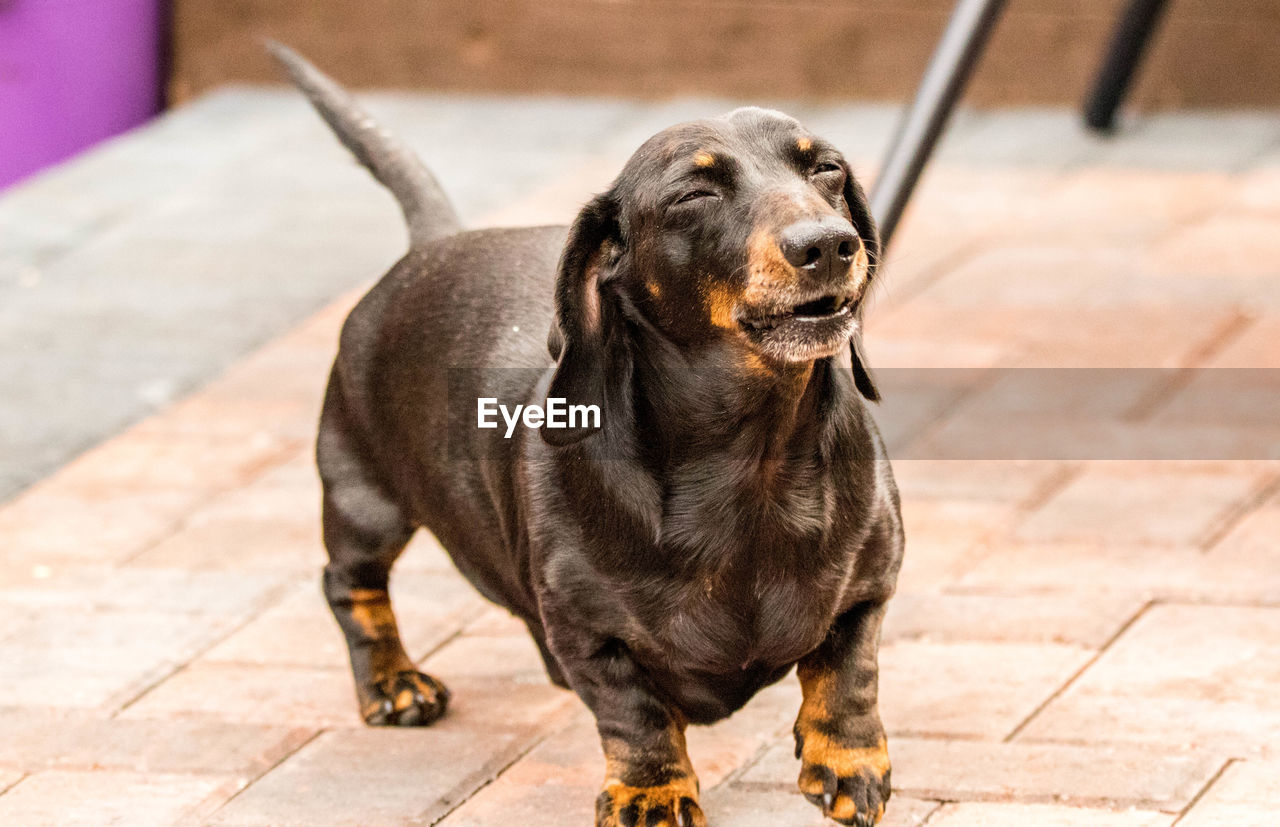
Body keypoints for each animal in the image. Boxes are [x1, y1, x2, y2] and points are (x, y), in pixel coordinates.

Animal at [275, 47, 906, 827]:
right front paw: (652, 789)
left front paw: (847, 761)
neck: (748, 458)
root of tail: (433, 244)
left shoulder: (869, 588)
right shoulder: (591, 635)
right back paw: (393, 684)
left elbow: (850, 672)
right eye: (694, 193)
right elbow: (633, 714)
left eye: (827, 170)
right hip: (362, 498)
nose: (830, 244)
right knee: (350, 585)